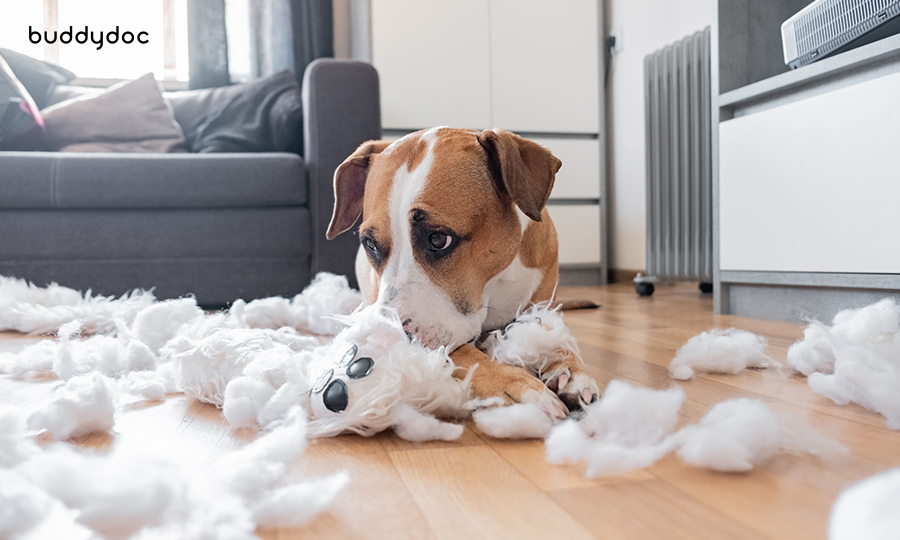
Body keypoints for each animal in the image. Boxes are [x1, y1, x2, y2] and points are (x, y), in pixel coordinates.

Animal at [326, 126, 600, 418]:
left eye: (438, 239)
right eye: (370, 244)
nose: (386, 340)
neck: (494, 286)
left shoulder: (543, 306)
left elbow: (554, 335)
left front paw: (569, 369)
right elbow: (464, 354)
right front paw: (513, 383)